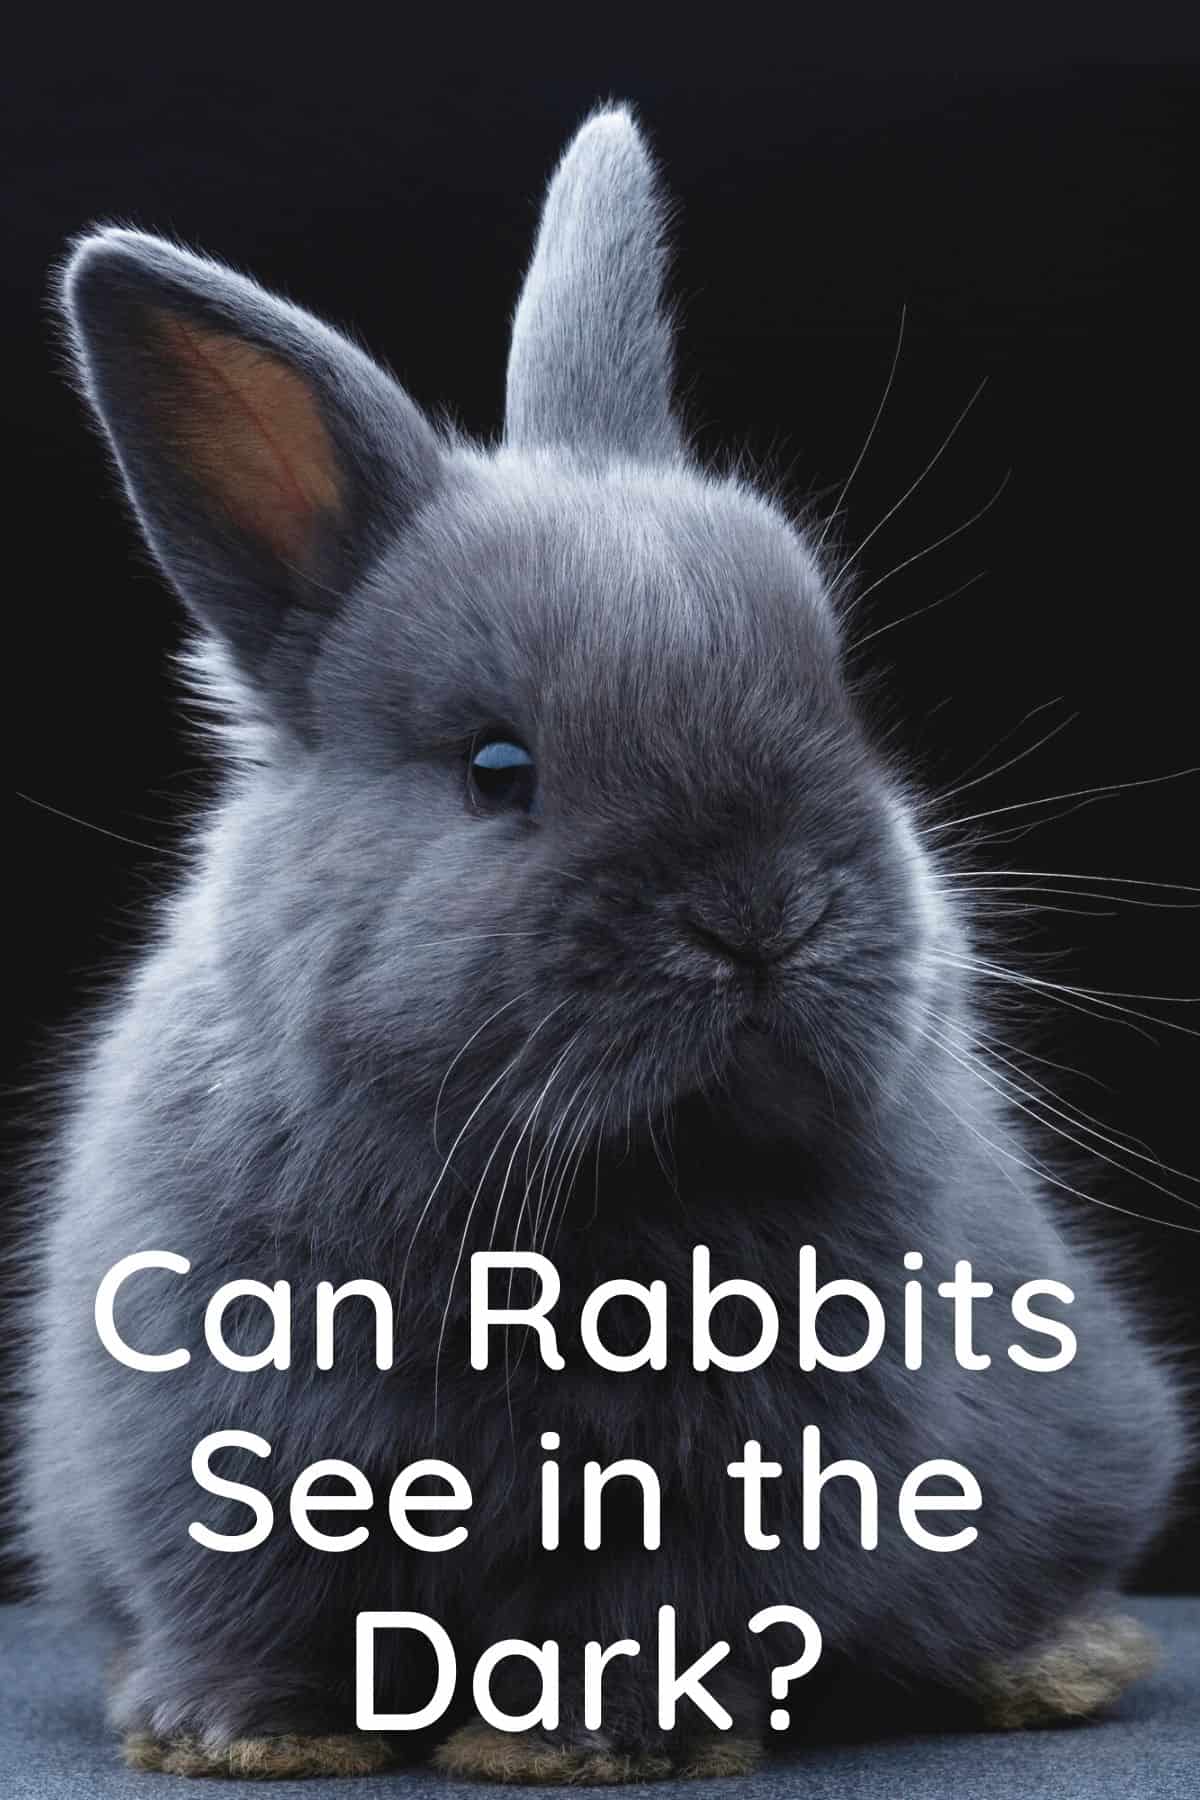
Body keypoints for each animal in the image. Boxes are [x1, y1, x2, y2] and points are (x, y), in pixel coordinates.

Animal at [21, 102, 1186, 1784]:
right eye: (496, 768)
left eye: (839, 696)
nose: (765, 913)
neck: (598, 1184)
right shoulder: (196, 1438)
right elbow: (240, 1599)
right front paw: (236, 1734)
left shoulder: (750, 1480)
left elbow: (653, 1610)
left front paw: (563, 1745)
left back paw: (1059, 1659)